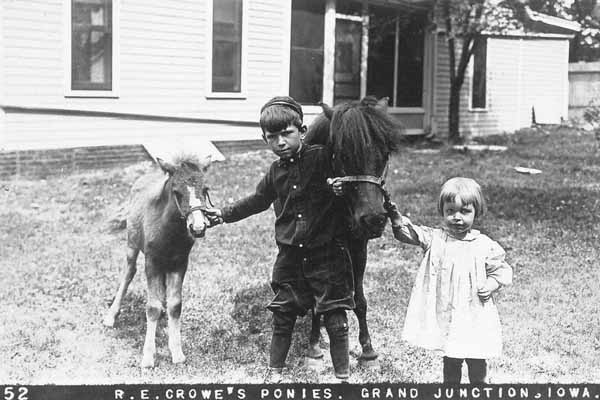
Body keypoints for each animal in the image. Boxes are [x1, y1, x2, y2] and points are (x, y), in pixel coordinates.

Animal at [104, 156, 212, 368]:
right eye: (177, 192)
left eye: (205, 189)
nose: (198, 227)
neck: (170, 231)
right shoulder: (152, 262)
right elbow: (151, 307)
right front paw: (148, 357)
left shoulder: (180, 263)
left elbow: (175, 305)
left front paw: (177, 352)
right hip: (132, 244)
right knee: (129, 272)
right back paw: (112, 315)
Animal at [304, 95, 404, 360]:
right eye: (342, 155)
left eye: (385, 154)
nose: (374, 219)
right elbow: (316, 297)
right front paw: (314, 343)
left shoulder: (359, 247)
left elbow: (360, 300)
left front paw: (367, 349)